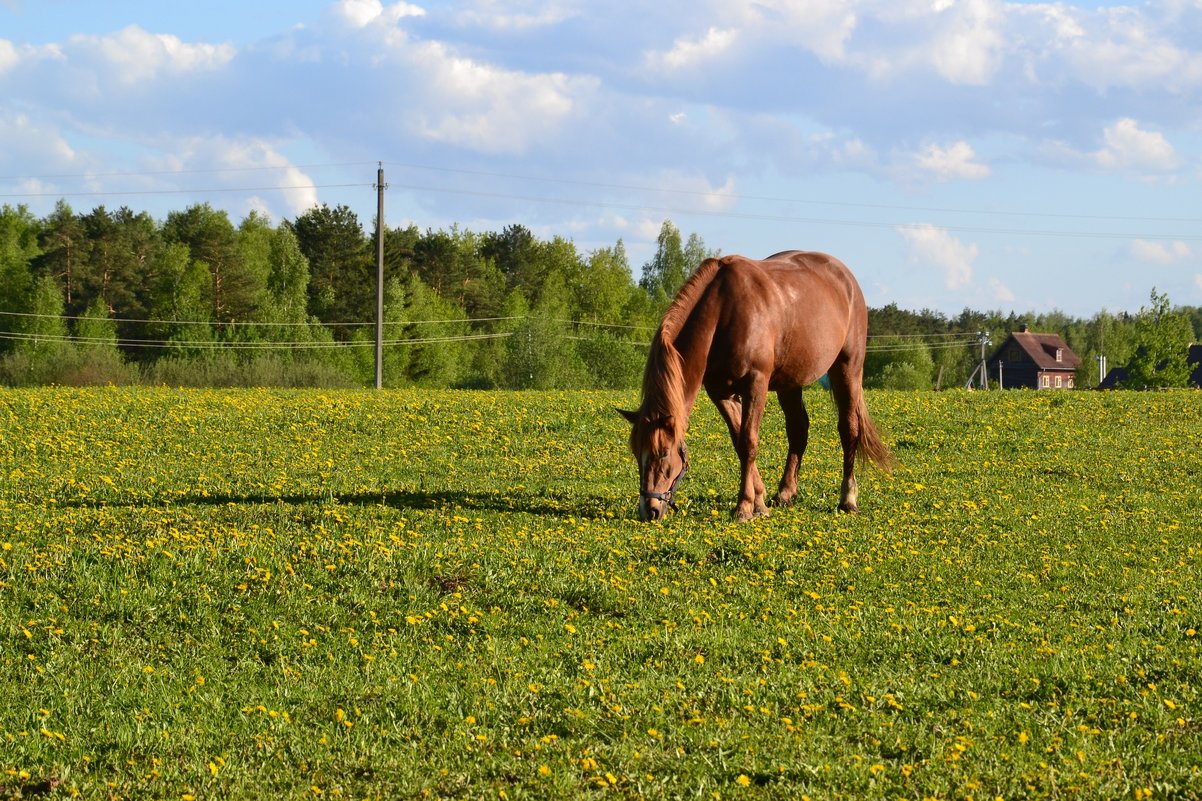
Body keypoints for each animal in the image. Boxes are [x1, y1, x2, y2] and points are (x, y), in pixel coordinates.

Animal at [620, 251, 894, 524]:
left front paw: (744, 507)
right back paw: (785, 493)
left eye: (663, 453)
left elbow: (748, 443)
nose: (649, 510)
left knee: (849, 429)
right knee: (798, 430)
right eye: (636, 452)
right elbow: (739, 442)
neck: (723, 312)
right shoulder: (721, 393)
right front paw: (759, 503)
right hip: (790, 383)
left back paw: (848, 499)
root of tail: (847, 278)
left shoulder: (756, 384)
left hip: (848, 368)